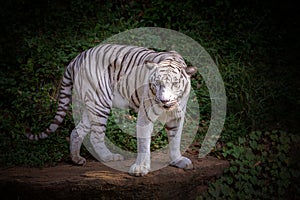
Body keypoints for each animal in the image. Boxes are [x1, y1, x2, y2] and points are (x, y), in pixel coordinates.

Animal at [27, 43, 197, 175]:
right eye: (157, 84)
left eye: (174, 84)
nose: (164, 100)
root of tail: (78, 57)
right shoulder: (145, 115)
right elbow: (143, 143)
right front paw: (140, 168)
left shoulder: (177, 116)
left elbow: (175, 139)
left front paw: (177, 160)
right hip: (100, 103)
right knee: (95, 137)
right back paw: (108, 157)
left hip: (91, 106)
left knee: (77, 131)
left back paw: (76, 159)